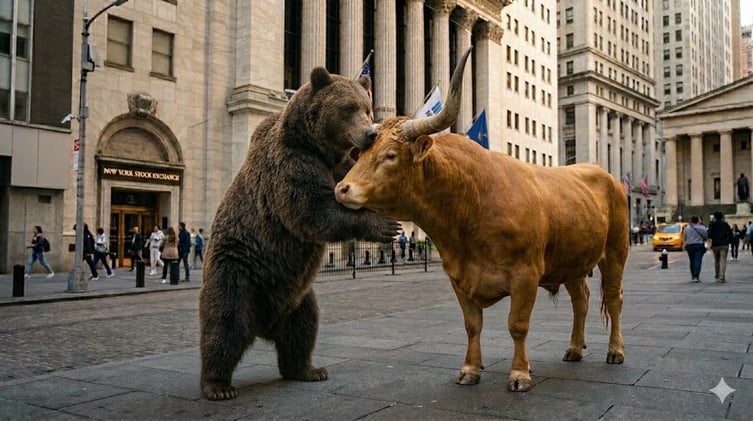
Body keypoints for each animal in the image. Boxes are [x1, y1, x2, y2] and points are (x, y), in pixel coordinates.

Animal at [199, 67, 400, 401]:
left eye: (366, 107)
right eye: (348, 107)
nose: (371, 133)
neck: (320, 149)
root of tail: (264, 323)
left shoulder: (341, 166)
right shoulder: (291, 166)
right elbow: (313, 211)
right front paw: (384, 225)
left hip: (297, 294)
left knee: (303, 327)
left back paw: (309, 370)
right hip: (238, 270)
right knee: (225, 324)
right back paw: (217, 385)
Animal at [334, 47, 628, 392]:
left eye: (390, 155)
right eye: (361, 155)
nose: (341, 189)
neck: (470, 208)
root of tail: (604, 174)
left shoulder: (526, 275)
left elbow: (517, 325)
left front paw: (519, 374)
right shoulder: (459, 278)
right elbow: (472, 325)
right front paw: (470, 370)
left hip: (615, 254)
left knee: (614, 298)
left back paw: (615, 351)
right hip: (572, 261)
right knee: (581, 300)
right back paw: (573, 349)